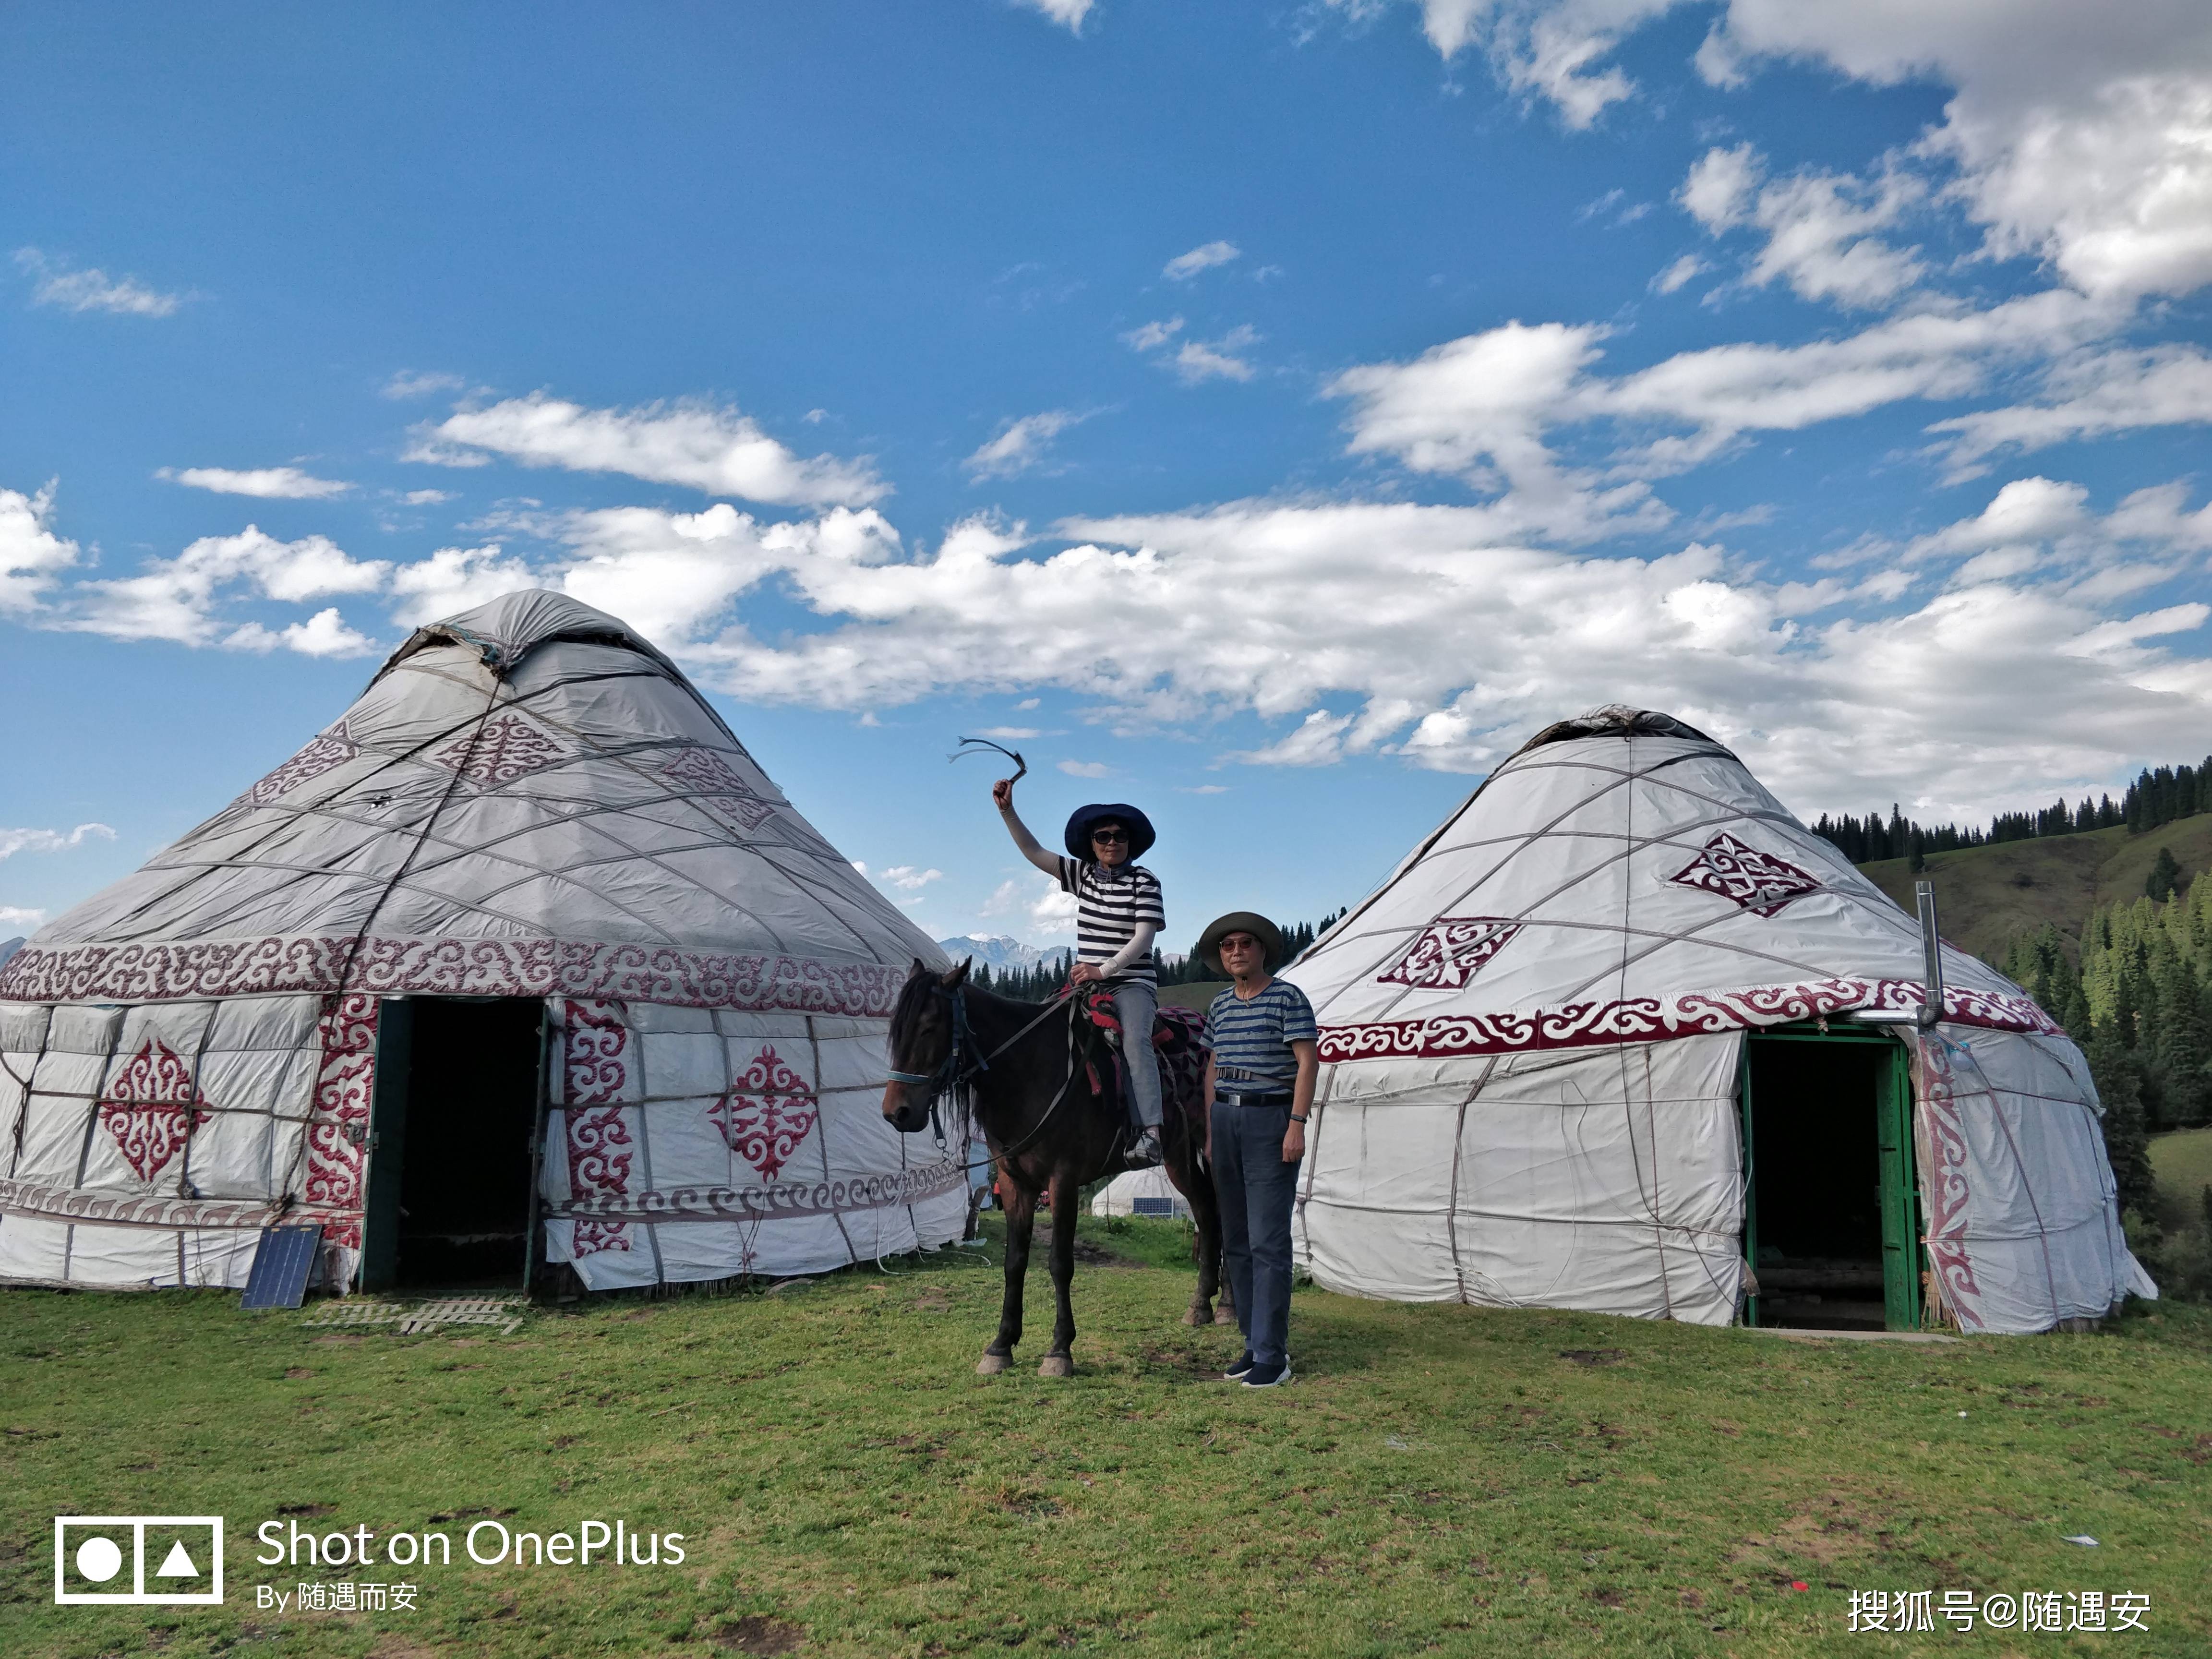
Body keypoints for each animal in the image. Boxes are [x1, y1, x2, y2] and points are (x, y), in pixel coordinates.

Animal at [876, 960, 1230, 1380]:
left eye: (930, 1026)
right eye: (897, 1030)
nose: (896, 1113)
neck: (1028, 1072)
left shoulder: (1063, 1180)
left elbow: (1060, 1263)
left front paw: (1060, 1350)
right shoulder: (1015, 1183)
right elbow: (1015, 1262)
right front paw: (1001, 1345)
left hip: (1213, 1145)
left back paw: (1228, 1306)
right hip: (1178, 1155)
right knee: (1207, 1210)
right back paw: (1203, 1304)